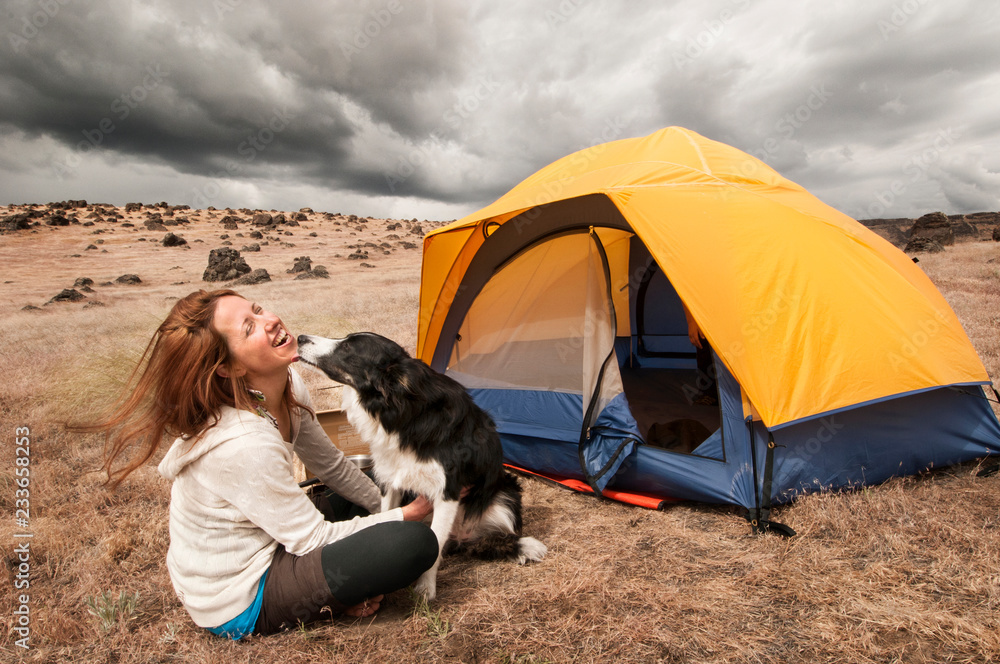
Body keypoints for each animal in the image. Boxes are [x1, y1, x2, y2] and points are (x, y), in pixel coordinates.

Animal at [296, 332, 548, 596]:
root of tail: (461, 537)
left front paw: (425, 587)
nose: (300, 337)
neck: (400, 412)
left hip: (506, 494)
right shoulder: (390, 481)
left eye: (347, 347)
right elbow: (388, 517)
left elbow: (435, 540)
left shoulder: (448, 491)